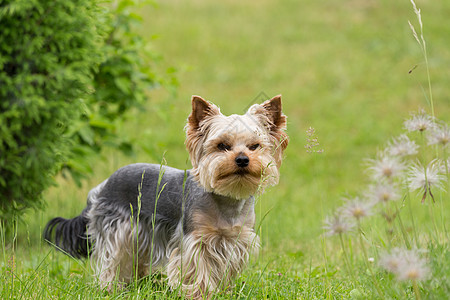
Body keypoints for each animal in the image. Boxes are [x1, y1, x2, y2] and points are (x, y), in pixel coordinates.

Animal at [43, 95, 288, 298]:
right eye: (222, 146)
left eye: (255, 146)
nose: (242, 159)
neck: (226, 198)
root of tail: (101, 187)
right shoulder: (195, 241)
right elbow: (197, 270)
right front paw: (199, 293)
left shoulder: (235, 241)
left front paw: (223, 292)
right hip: (119, 229)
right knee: (112, 260)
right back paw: (111, 288)